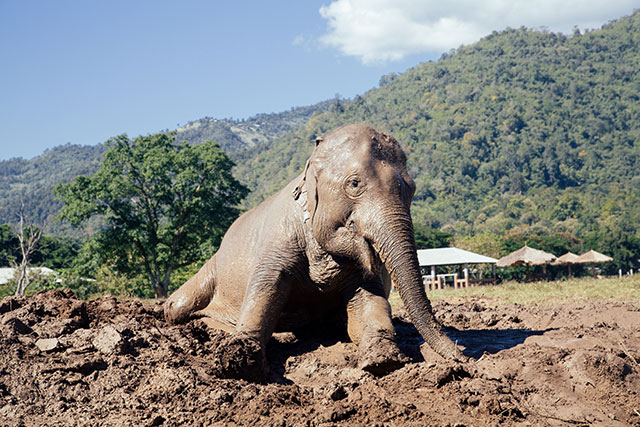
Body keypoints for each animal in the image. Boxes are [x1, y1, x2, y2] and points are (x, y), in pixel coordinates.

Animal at [165, 123, 465, 381]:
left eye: (412, 189)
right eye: (354, 184)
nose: (461, 357)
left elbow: (369, 302)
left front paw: (383, 360)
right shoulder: (278, 240)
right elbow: (265, 289)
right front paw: (240, 362)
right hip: (212, 267)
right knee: (175, 307)